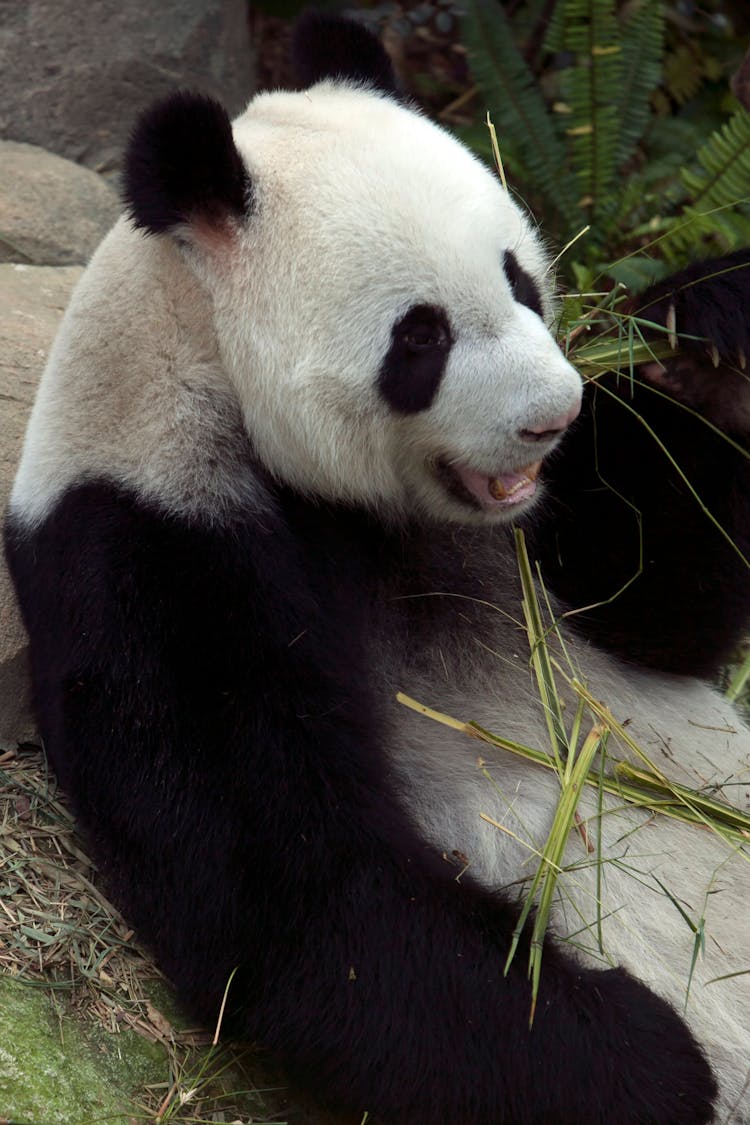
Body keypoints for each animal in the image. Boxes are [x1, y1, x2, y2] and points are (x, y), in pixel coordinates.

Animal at [5, 10, 750, 1125]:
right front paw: (658, 1063)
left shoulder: (531, 551)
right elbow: (307, 901)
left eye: (519, 277)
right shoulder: (150, 544)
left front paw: (704, 351)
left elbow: (662, 607)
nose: (554, 417)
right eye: (421, 337)